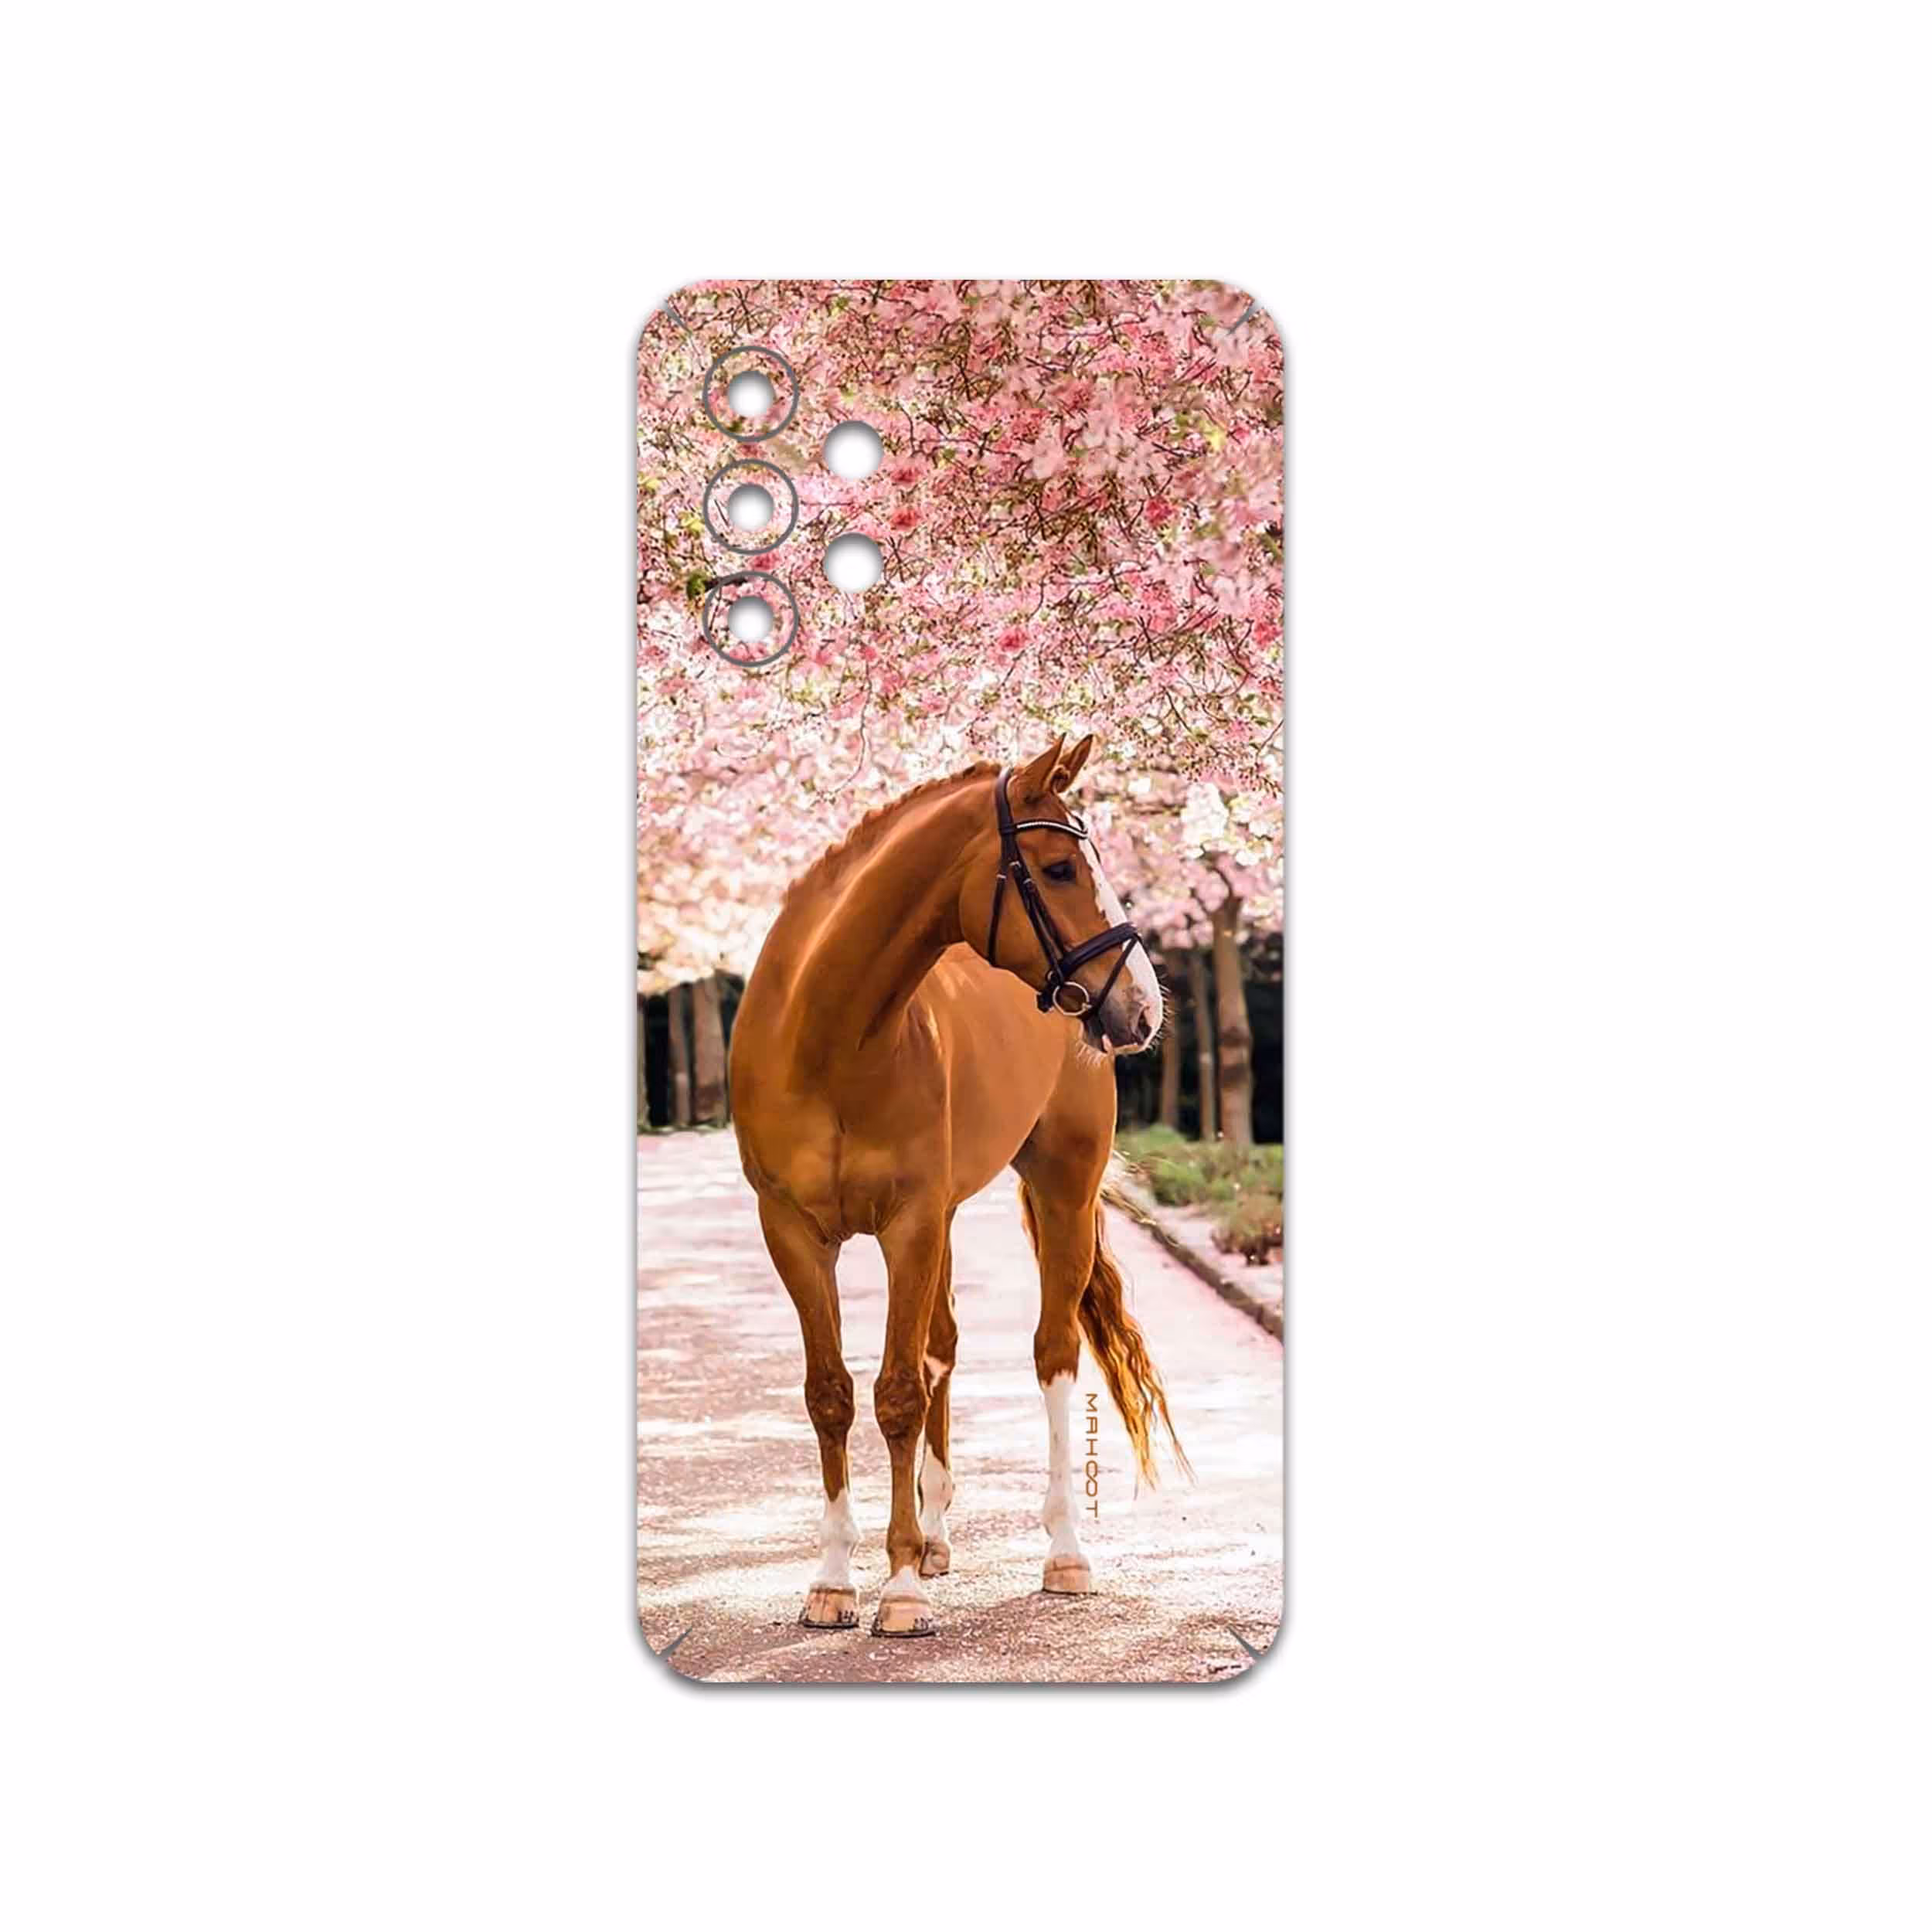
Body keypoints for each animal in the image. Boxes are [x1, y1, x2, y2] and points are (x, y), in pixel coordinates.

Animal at [728, 732, 1189, 1637]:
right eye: (1057, 868)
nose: (1143, 1008)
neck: (827, 1038)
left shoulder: (908, 1223)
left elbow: (899, 1392)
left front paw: (900, 1589)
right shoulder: (794, 1231)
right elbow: (832, 1393)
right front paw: (834, 1581)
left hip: (1061, 1191)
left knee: (1052, 1353)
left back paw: (1062, 1553)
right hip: (942, 1219)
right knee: (941, 1345)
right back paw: (937, 1536)